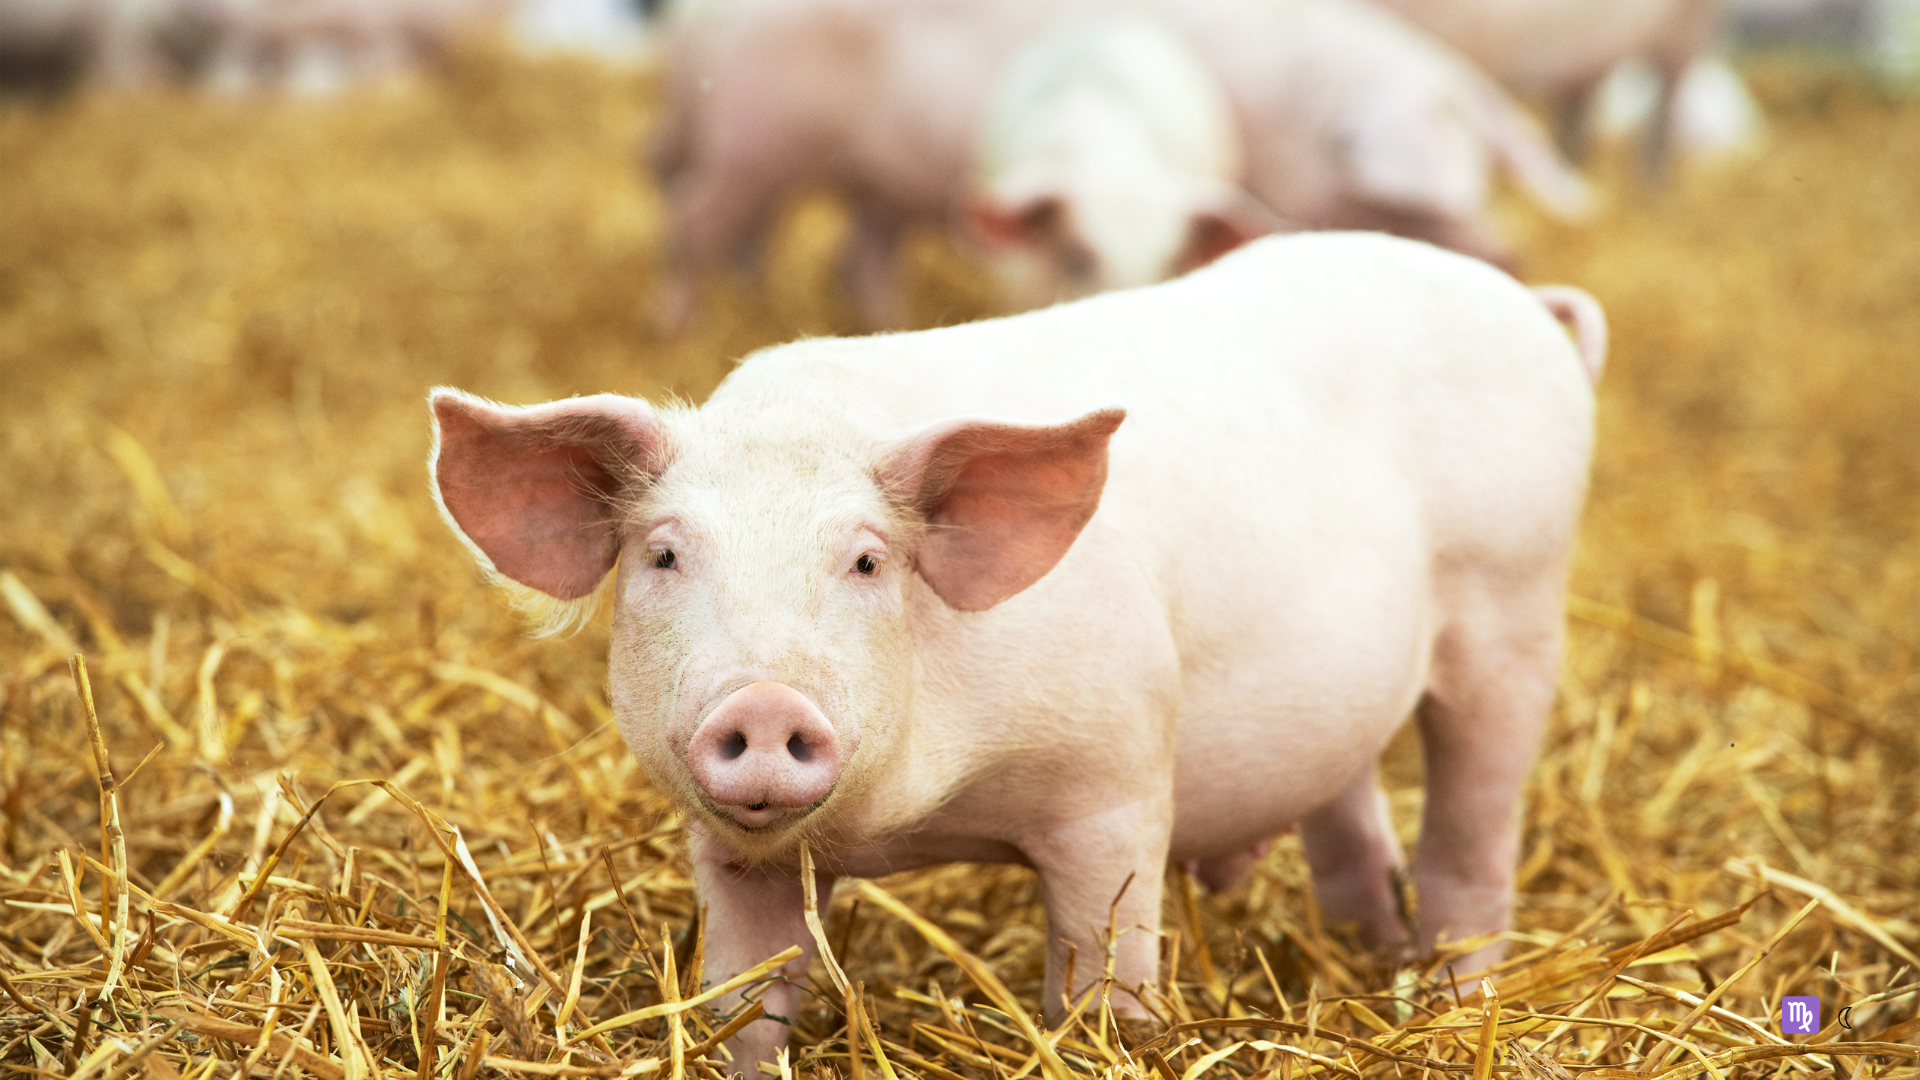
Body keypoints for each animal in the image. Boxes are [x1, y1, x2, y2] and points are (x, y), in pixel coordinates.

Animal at [430, 230, 1606, 1068]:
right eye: (666, 554)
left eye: (867, 561)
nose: (764, 704)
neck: (908, 823)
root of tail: (1527, 307)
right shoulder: (729, 853)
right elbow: (747, 1002)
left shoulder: (1115, 782)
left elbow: (1104, 980)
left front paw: (1111, 1040)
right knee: (1353, 822)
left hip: (1516, 611)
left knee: (1471, 843)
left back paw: (1454, 1001)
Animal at [650, 0, 1592, 329]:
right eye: (1407, 204)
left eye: (1483, 168)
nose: (1507, 254)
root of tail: (697, 24)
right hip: (753, 141)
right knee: (696, 222)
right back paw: (679, 327)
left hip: (869, 182)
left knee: (851, 255)